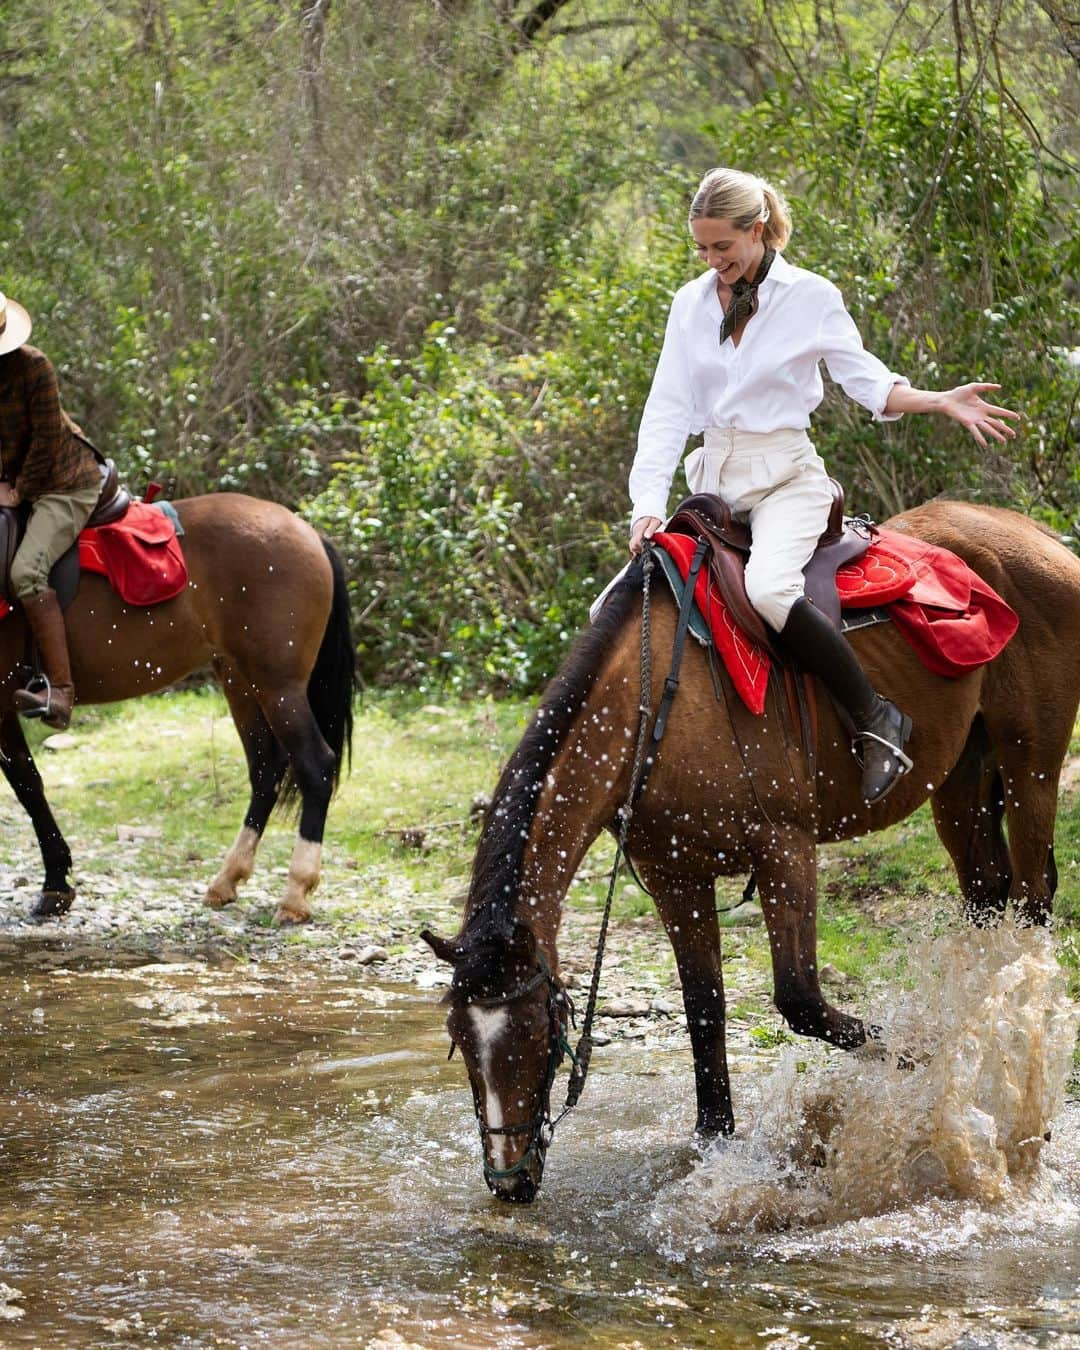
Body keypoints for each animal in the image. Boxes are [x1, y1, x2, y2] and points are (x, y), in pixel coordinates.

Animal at [2, 496, 361, 928]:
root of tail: (310, 533)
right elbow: (27, 782)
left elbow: (26, 785)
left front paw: (55, 884)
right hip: (241, 682)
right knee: (265, 770)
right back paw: (227, 879)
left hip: (279, 687)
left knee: (315, 766)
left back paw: (295, 892)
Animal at [421, 504, 1080, 1204]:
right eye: (459, 1041)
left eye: (534, 1034)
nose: (509, 1179)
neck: (652, 707)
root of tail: (1037, 537)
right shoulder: (674, 875)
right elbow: (704, 1009)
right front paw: (714, 1142)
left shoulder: (785, 850)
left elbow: (800, 999)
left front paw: (927, 1052)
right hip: (961, 781)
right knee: (988, 896)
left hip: (1031, 763)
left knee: (1032, 903)